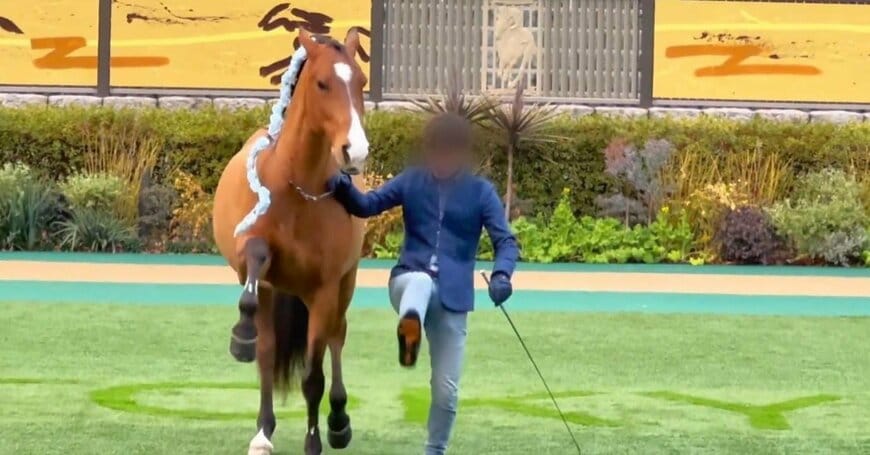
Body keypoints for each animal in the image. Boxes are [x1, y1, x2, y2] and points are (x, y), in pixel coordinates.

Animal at [212, 28, 369, 455]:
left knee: (336, 338)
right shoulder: (251, 258)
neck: (297, 187)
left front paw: (315, 440)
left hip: (344, 287)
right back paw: (263, 431)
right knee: (267, 353)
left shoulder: (325, 290)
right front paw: (241, 336)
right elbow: (254, 258)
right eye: (322, 83)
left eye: (361, 82)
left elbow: (313, 377)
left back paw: (338, 421)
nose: (355, 150)